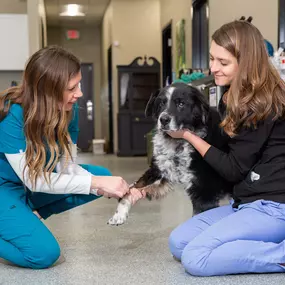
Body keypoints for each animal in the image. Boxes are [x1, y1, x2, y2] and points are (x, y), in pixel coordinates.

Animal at [107, 82, 232, 224]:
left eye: (181, 104)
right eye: (161, 103)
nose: (164, 119)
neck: (177, 143)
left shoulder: (205, 192)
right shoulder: (160, 172)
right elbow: (131, 189)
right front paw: (119, 214)